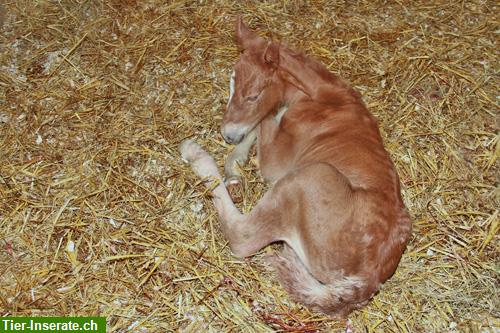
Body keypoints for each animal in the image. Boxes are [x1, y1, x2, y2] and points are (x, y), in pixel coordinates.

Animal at [180, 18, 410, 316]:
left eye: (253, 96)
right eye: (231, 84)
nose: (227, 135)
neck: (325, 96)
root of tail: (369, 277)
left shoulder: (277, 163)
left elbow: (265, 122)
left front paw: (234, 158)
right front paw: (236, 161)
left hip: (309, 177)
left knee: (242, 235)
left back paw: (195, 154)